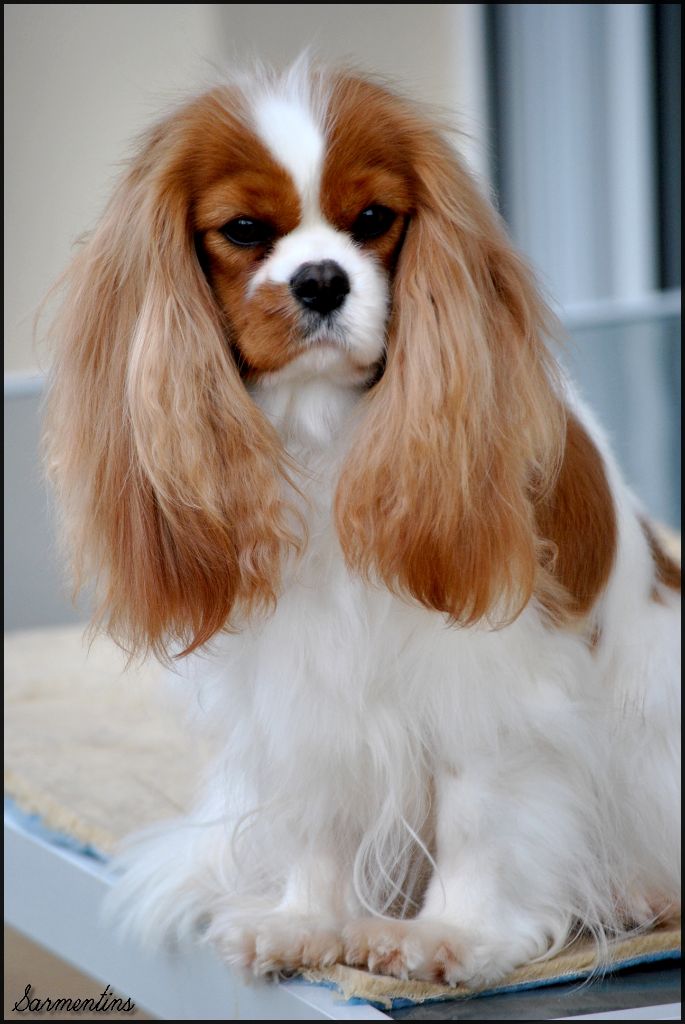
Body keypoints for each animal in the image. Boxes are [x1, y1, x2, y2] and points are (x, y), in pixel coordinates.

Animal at [44, 58, 680, 987]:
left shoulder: (486, 683)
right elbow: (318, 811)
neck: (321, 432)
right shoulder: (302, 686)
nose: (320, 280)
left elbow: (477, 810)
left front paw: (453, 935)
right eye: (243, 231)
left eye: (374, 220)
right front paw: (307, 921)